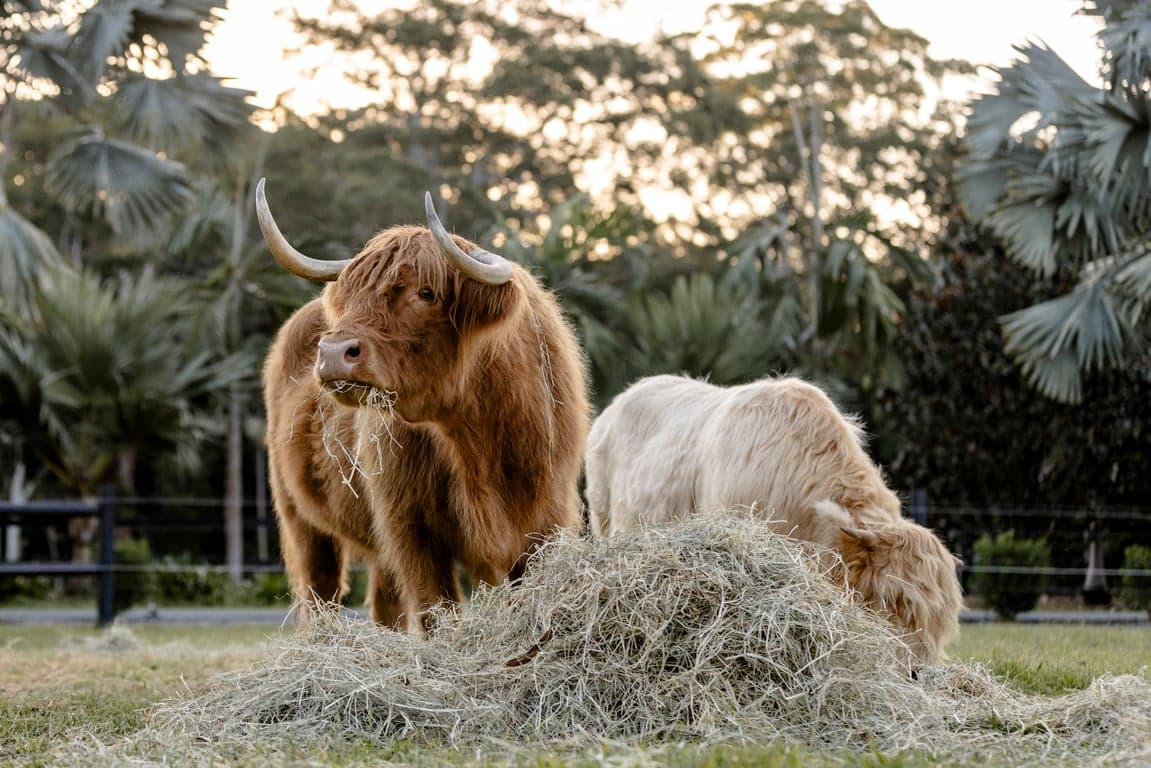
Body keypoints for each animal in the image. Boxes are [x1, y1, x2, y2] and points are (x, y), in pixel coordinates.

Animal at [257, 179, 589, 632]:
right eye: (350, 295)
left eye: (425, 292)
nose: (333, 353)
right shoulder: (411, 530)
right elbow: (437, 613)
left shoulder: (546, 521)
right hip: (302, 521)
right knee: (320, 596)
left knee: (385, 605)